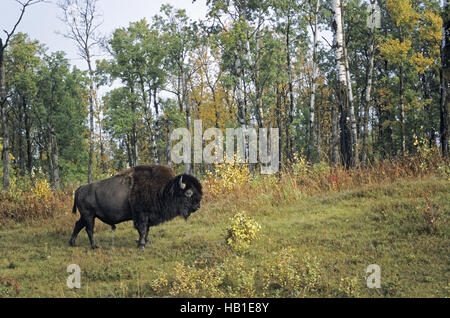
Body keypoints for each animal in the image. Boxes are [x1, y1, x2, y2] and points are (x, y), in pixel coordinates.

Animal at [68, 165, 202, 250]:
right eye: (189, 193)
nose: (197, 206)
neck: (164, 190)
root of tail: (80, 188)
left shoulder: (148, 216)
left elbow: (146, 230)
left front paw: (147, 242)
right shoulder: (141, 215)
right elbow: (142, 229)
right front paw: (142, 245)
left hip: (86, 216)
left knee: (78, 225)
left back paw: (72, 243)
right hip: (89, 215)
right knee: (89, 229)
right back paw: (94, 246)